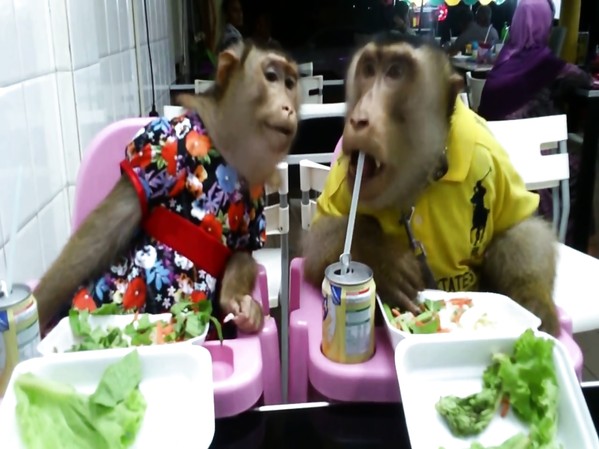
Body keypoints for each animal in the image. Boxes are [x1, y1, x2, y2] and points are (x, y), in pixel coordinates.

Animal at [34, 39, 300, 337]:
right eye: (271, 77)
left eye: (290, 83)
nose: (288, 107)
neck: (227, 147)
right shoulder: (162, 144)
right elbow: (108, 226)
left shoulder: (255, 194)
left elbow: (242, 250)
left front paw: (242, 307)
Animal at [302, 32, 560, 336]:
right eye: (368, 69)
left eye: (395, 72)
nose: (359, 119)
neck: (422, 176)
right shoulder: (343, 178)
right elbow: (318, 239)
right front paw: (382, 261)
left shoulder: (491, 158)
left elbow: (518, 227)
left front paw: (533, 300)